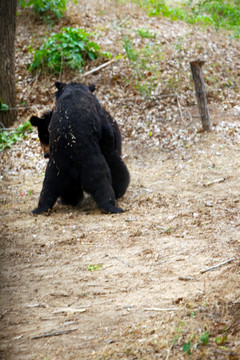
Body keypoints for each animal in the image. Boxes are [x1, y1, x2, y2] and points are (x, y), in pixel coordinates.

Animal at [31, 82, 131, 214]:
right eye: (41, 137)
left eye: (45, 136)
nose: (46, 155)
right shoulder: (99, 113)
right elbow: (107, 134)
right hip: (92, 166)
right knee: (102, 183)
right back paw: (112, 205)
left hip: (56, 169)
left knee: (49, 187)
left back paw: (43, 207)